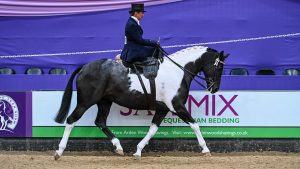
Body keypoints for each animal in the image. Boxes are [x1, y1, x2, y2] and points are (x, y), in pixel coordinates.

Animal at [54, 46, 229, 160]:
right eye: (219, 68)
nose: (215, 89)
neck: (178, 71)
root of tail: (84, 67)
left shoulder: (162, 109)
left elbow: (152, 130)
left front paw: (137, 151)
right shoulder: (177, 107)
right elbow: (195, 125)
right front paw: (205, 149)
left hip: (105, 102)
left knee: (100, 122)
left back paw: (119, 147)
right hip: (86, 101)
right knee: (71, 120)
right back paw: (59, 152)